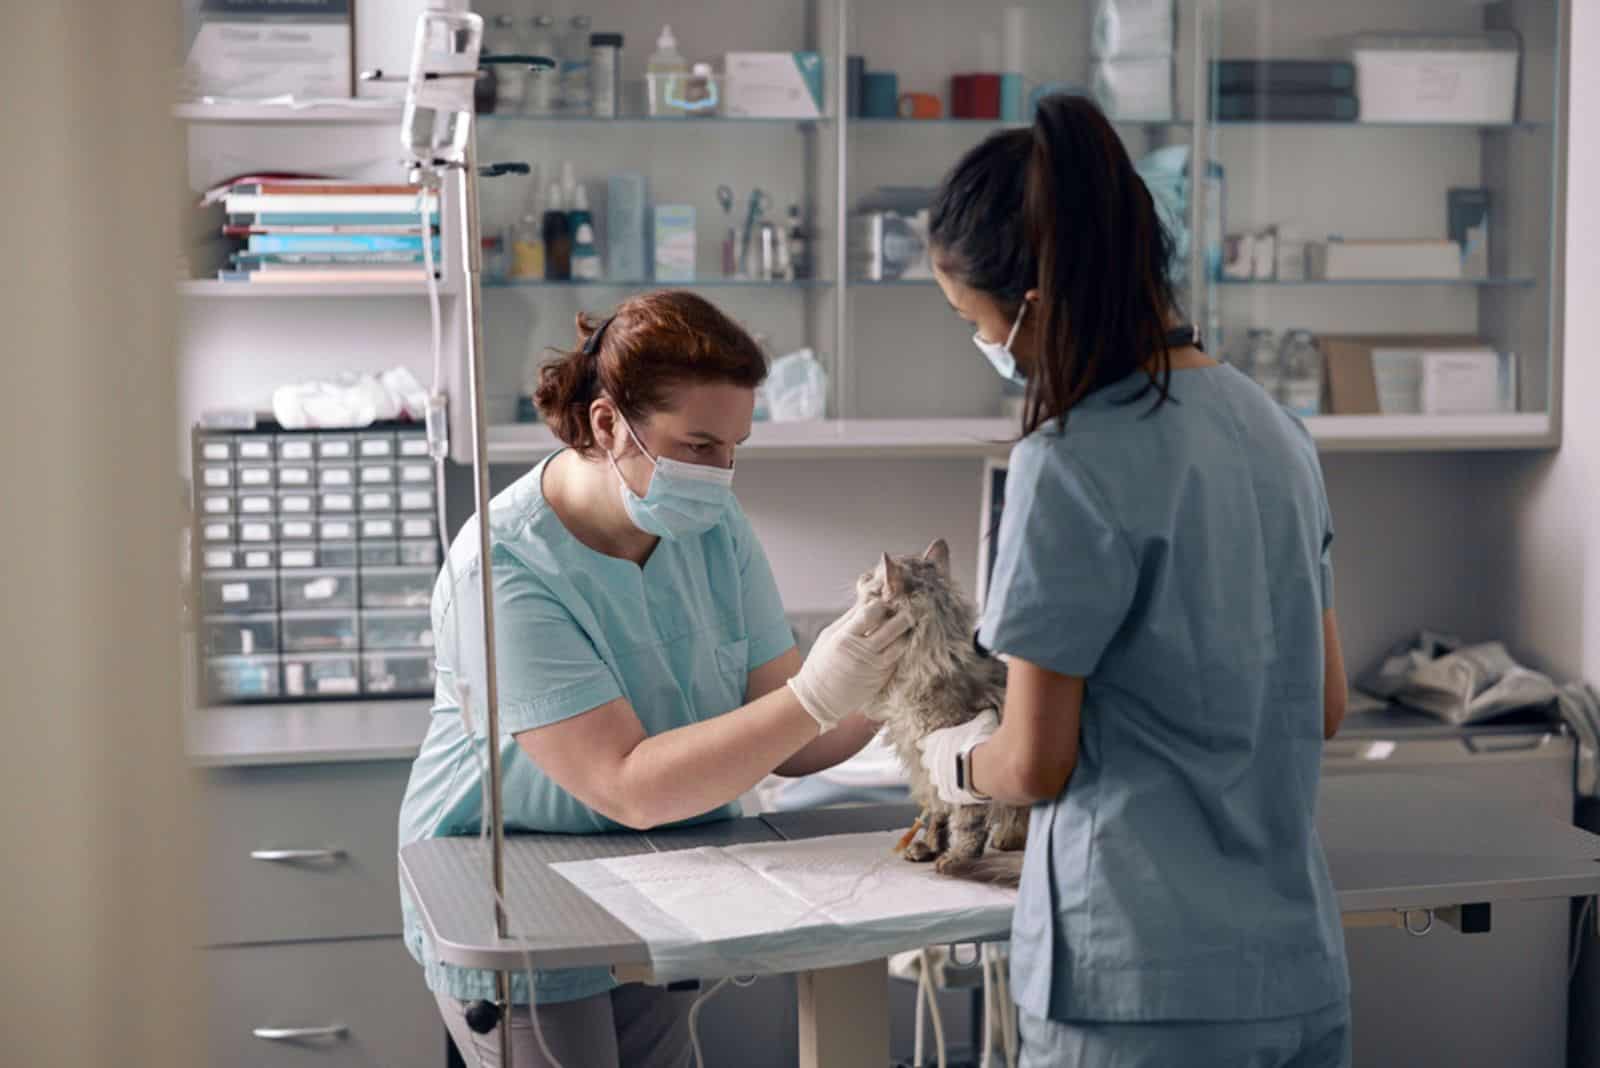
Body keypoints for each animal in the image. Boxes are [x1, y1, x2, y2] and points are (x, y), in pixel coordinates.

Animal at [857, 543, 1030, 882]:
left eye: (871, 577)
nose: (860, 576)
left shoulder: (963, 764)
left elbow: (965, 822)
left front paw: (957, 858)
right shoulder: (926, 767)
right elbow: (937, 815)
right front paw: (929, 847)